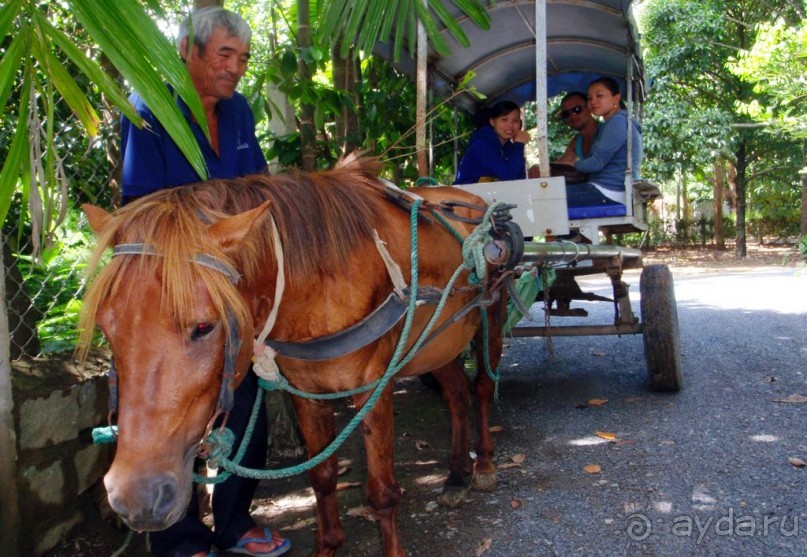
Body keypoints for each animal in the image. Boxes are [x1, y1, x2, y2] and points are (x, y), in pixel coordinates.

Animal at [79, 156, 508, 556]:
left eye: (204, 326)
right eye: (106, 328)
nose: (134, 497)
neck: (321, 279)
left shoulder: (373, 388)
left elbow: (382, 491)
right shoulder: (306, 392)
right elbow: (322, 476)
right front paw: (328, 545)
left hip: (491, 316)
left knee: (483, 388)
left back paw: (484, 464)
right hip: (437, 342)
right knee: (456, 394)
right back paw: (455, 475)